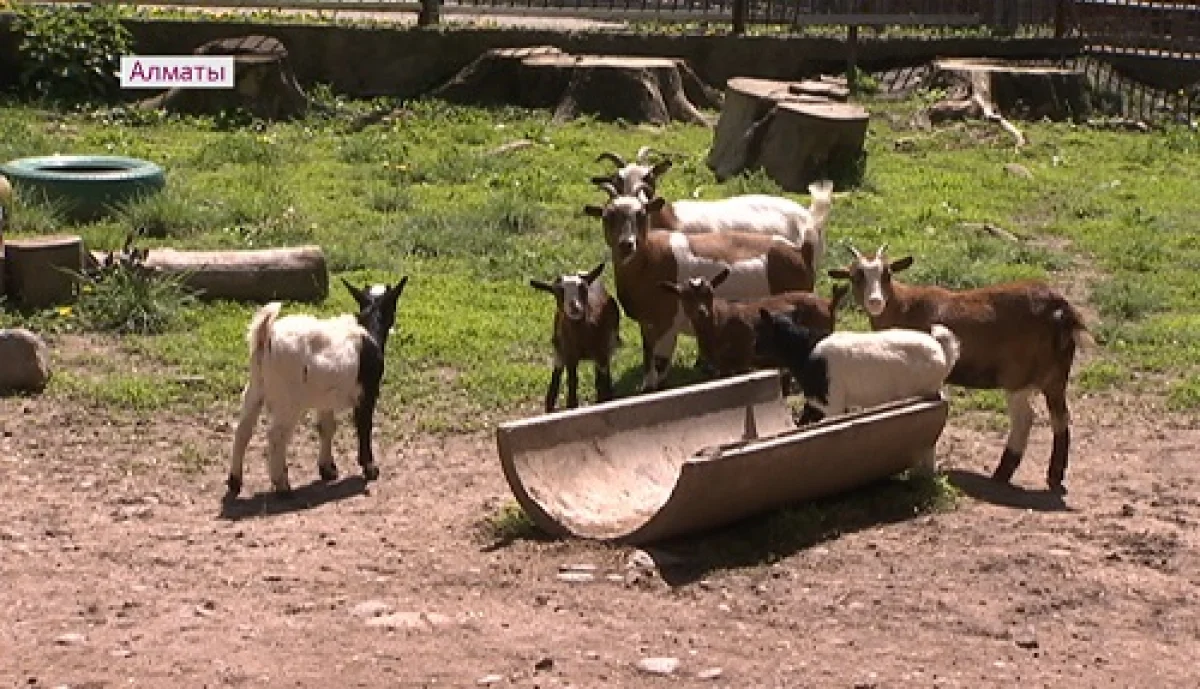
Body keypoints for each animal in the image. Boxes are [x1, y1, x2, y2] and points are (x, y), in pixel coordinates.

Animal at [226, 278, 410, 499]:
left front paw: (327, 469)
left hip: (255, 388)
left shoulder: (325, 399)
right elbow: (364, 426)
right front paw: (370, 468)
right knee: (276, 435)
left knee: (242, 430)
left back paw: (235, 481)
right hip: (288, 399)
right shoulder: (367, 392)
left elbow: (327, 428)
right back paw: (282, 486)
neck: (369, 329)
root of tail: (265, 335)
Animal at [528, 261, 619, 412]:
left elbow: (604, 390)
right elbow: (572, 389)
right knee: (556, 377)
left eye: (583, 287)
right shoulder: (570, 357)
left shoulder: (602, 355)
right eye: (558, 291)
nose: (574, 307)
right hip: (559, 349)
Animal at [583, 182, 816, 393]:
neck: (650, 258)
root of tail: (799, 251)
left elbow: (660, 364)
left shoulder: (667, 324)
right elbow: (648, 356)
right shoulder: (647, 324)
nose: (627, 244)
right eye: (607, 216)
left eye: (641, 214)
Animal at [830, 246, 1094, 494]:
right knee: (1060, 418)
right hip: (1056, 375)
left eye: (887, 274)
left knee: (1025, 418)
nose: (875, 302)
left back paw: (1003, 473)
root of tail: (1061, 310)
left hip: (1018, 375)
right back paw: (1051, 475)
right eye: (855, 276)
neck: (905, 306)